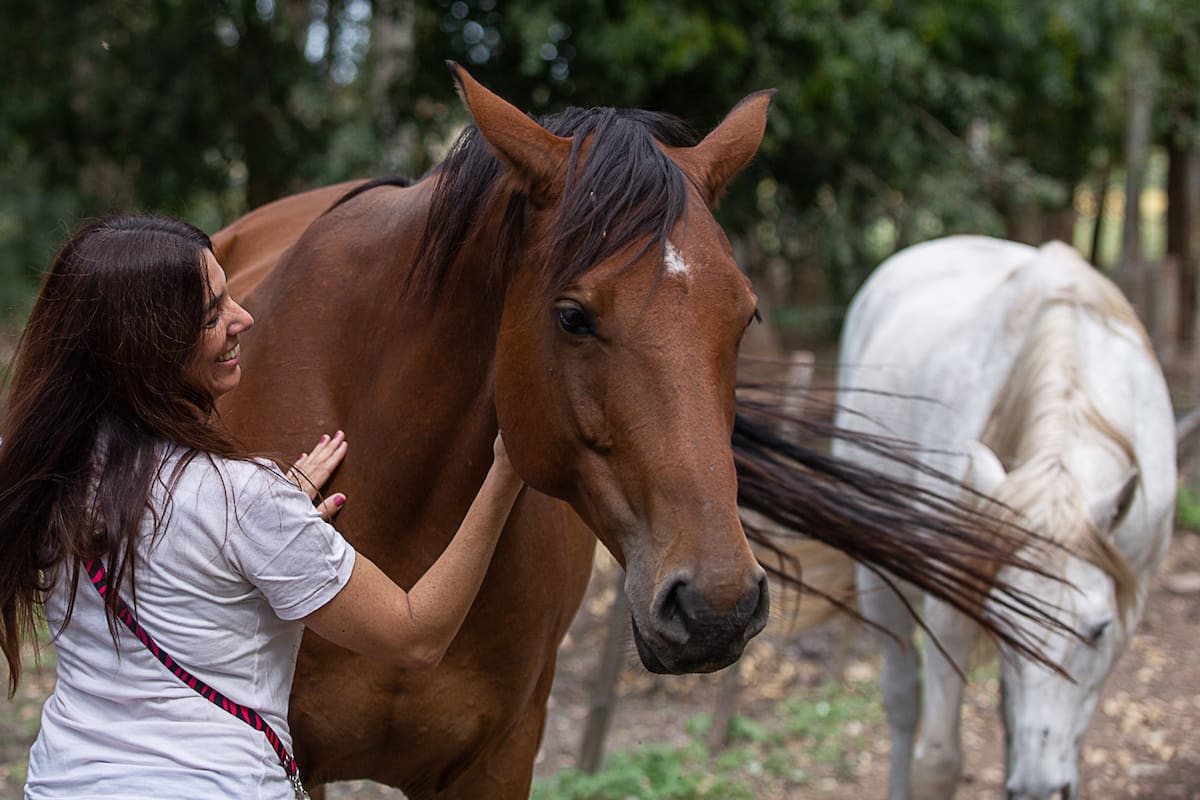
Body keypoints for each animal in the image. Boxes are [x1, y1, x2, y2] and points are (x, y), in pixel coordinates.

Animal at [835, 236, 1176, 800]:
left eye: (1099, 629)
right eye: (999, 622)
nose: (1039, 787)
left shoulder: (1129, 601)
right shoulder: (951, 602)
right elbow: (939, 761)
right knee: (903, 701)